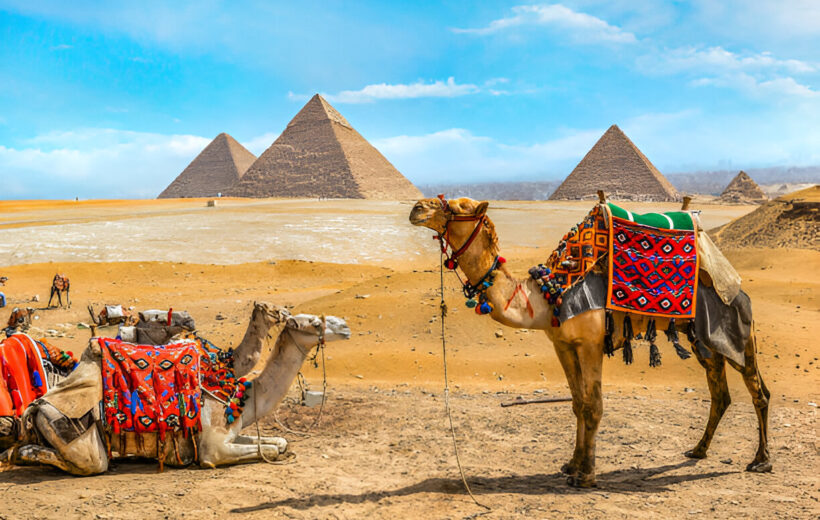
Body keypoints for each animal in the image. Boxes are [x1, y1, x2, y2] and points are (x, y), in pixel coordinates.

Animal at [4, 304, 350, 476]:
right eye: (312, 323)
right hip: (75, 433)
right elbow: (263, 450)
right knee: (89, 462)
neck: (239, 397)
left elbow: (279, 443)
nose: (345, 326)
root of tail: (37, 406)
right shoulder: (213, 449)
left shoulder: (232, 432)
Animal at [410, 198, 768, 488]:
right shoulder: (564, 345)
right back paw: (698, 450)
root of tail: (739, 289)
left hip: (736, 332)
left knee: (757, 390)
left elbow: (593, 406)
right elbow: (577, 404)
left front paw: (586, 476)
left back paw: (761, 460)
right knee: (720, 393)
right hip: (704, 342)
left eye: (459, 206)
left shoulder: (592, 344)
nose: (417, 208)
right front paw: (572, 465)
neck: (547, 295)